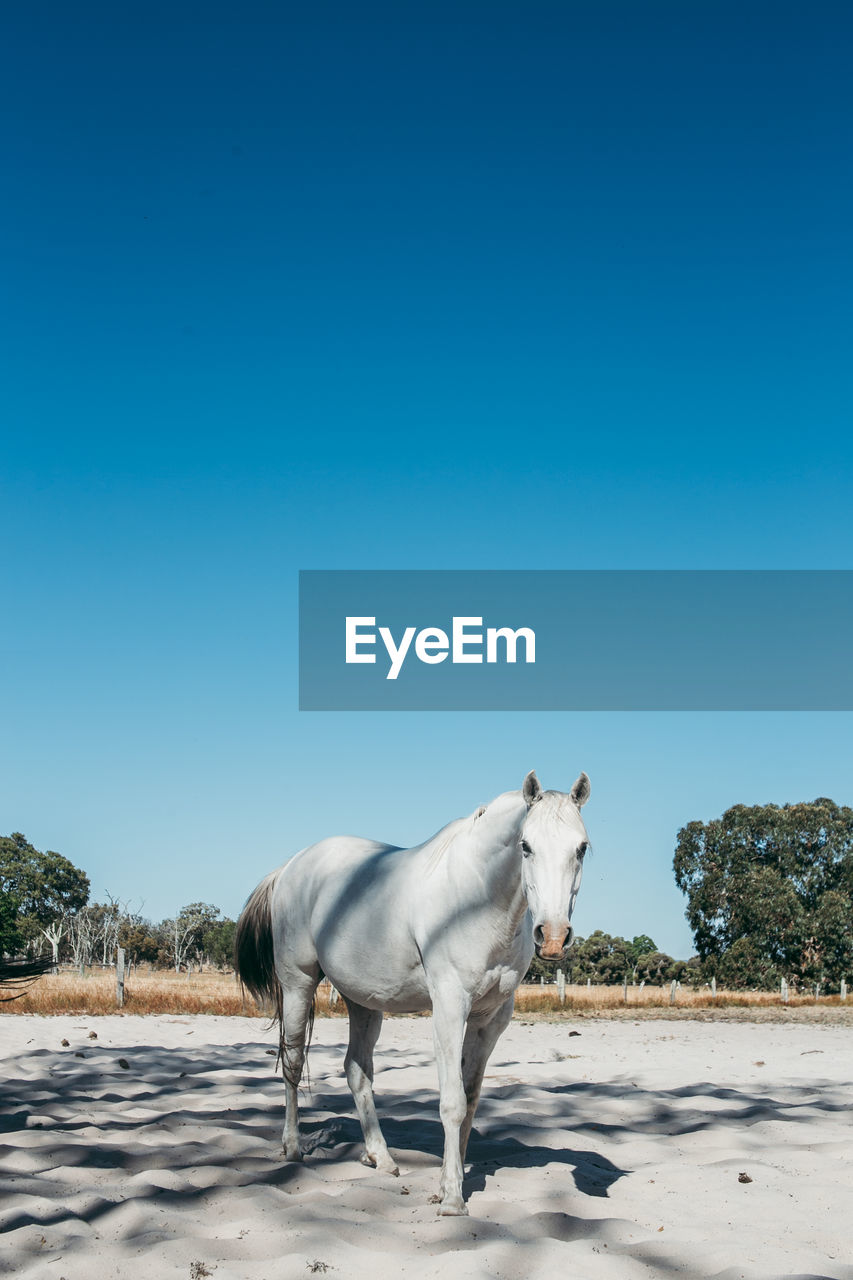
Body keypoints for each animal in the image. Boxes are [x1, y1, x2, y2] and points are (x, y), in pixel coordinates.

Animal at [234, 762, 591, 1213]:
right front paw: (453, 1198)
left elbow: (471, 1098)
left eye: (581, 848)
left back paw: (380, 1157)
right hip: (298, 984)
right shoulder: (449, 1008)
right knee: (293, 1064)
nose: (554, 937)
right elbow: (453, 1102)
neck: (476, 900)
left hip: (363, 1001)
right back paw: (294, 1149)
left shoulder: (491, 1018)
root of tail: (292, 865)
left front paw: (449, 1179)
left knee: (357, 1071)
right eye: (525, 846)